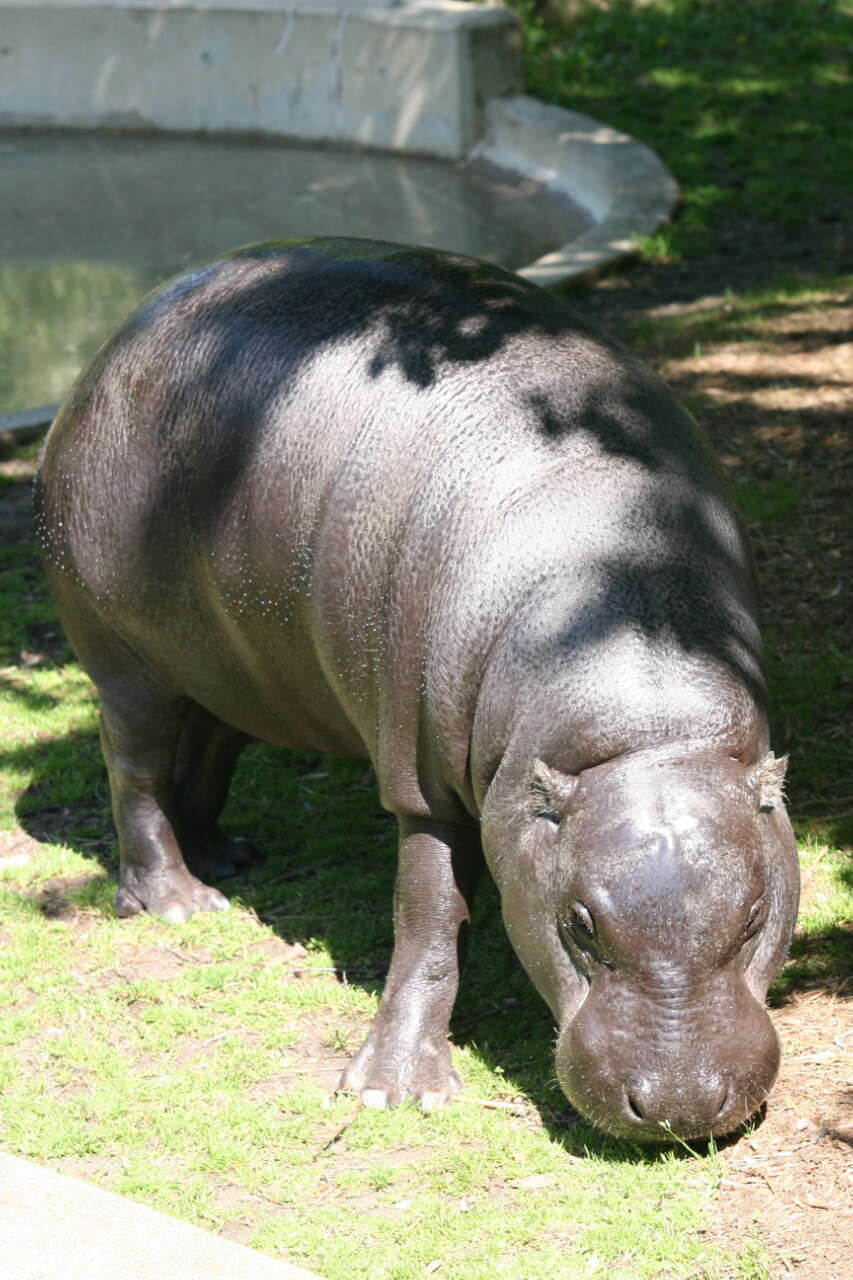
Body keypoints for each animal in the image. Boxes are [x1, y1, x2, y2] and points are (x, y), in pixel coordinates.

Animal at [36, 240, 799, 1141]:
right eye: (579, 923)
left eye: (754, 918)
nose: (678, 1105)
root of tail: (120, 336)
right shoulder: (421, 780)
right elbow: (428, 916)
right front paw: (392, 1090)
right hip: (126, 659)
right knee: (136, 770)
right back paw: (183, 903)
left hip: (234, 659)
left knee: (213, 738)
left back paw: (224, 855)